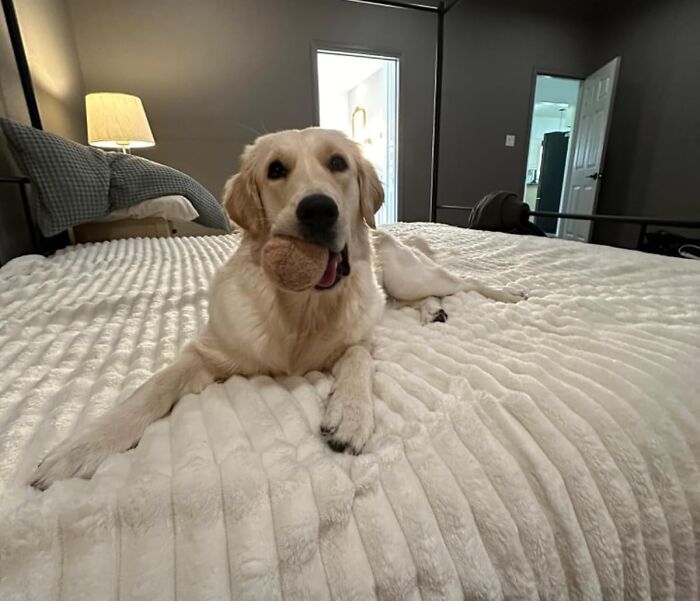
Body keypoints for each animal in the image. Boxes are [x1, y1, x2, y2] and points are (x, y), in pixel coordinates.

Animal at [31, 126, 524, 488]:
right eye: (276, 169)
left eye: (338, 163)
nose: (319, 209)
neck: (303, 306)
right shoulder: (206, 352)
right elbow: (151, 389)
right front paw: (82, 447)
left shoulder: (361, 337)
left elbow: (358, 359)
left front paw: (351, 413)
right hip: (402, 286)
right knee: (423, 297)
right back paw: (434, 311)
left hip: (409, 274)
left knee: (460, 281)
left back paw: (506, 294)